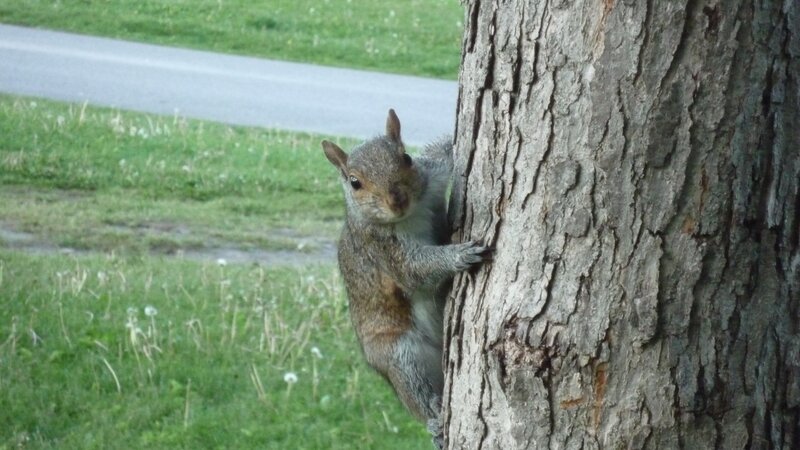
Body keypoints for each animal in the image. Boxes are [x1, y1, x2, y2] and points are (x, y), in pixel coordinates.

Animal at [322, 109, 490, 446]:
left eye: (407, 158)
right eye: (354, 182)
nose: (396, 200)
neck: (410, 214)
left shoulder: (433, 175)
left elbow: (444, 150)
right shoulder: (383, 250)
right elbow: (414, 270)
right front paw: (460, 255)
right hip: (399, 354)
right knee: (417, 395)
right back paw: (435, 421)